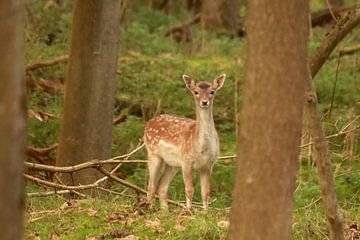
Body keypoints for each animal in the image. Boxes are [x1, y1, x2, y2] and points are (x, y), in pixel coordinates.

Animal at [143, 73, 225, 210]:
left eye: (212, 92)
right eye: (196, 92)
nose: (204, 102)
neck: (201, 148)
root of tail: (148, 123)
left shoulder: (208, 165)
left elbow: (205, 192)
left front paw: (205, 212)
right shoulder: (186, 161)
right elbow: (189, 190)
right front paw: (188, 211)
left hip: (172, 164)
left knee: (161, 185)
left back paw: (165, 211)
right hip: (153, 153)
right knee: (151, 185)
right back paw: (148, 209)